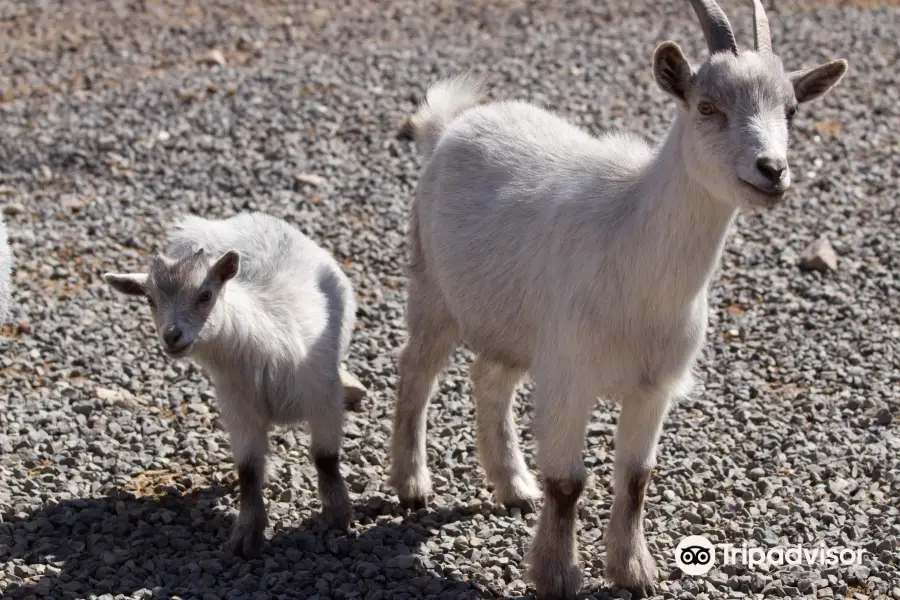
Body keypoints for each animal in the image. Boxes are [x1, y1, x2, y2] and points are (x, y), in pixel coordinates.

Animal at [104, 212, 356, 556]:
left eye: (205, 295)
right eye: (150, 300)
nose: (171, 336)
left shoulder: (324, 399)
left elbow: (325, 458)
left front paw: (337, 515)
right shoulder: (240, 412)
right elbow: (248, 471)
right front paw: (246, 536)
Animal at [390, 2, 848, 596]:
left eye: (791, 110)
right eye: (707, 106)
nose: (772, 170)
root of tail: (447, 128)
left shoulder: (653, 387)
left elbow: (635, 480)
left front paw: (633, 572)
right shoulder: (569, 378)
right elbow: (567, 483)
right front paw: (558, 575)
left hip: (511, 321)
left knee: (489, 378)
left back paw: (513, 486)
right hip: (433, 291)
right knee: (416, 373)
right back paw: (412, 485)